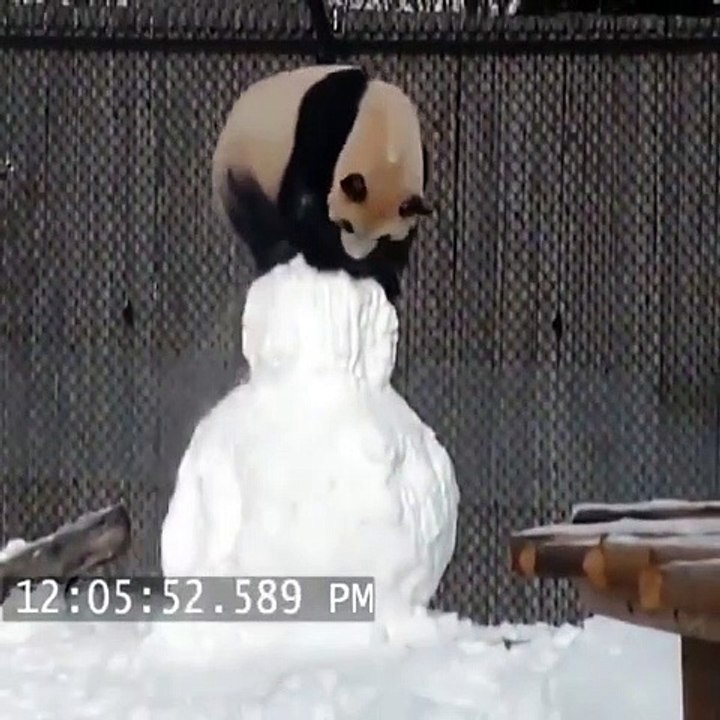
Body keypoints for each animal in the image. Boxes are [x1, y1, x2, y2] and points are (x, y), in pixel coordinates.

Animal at [211, 64, 432, 303]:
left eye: (384, 237)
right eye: (347, 225)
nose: (355, 254)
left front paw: (385, 271)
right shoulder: (325, 120)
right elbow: (304, 202)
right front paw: (347, 263)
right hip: (241, 170)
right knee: (256, 218)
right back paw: (278, 253)